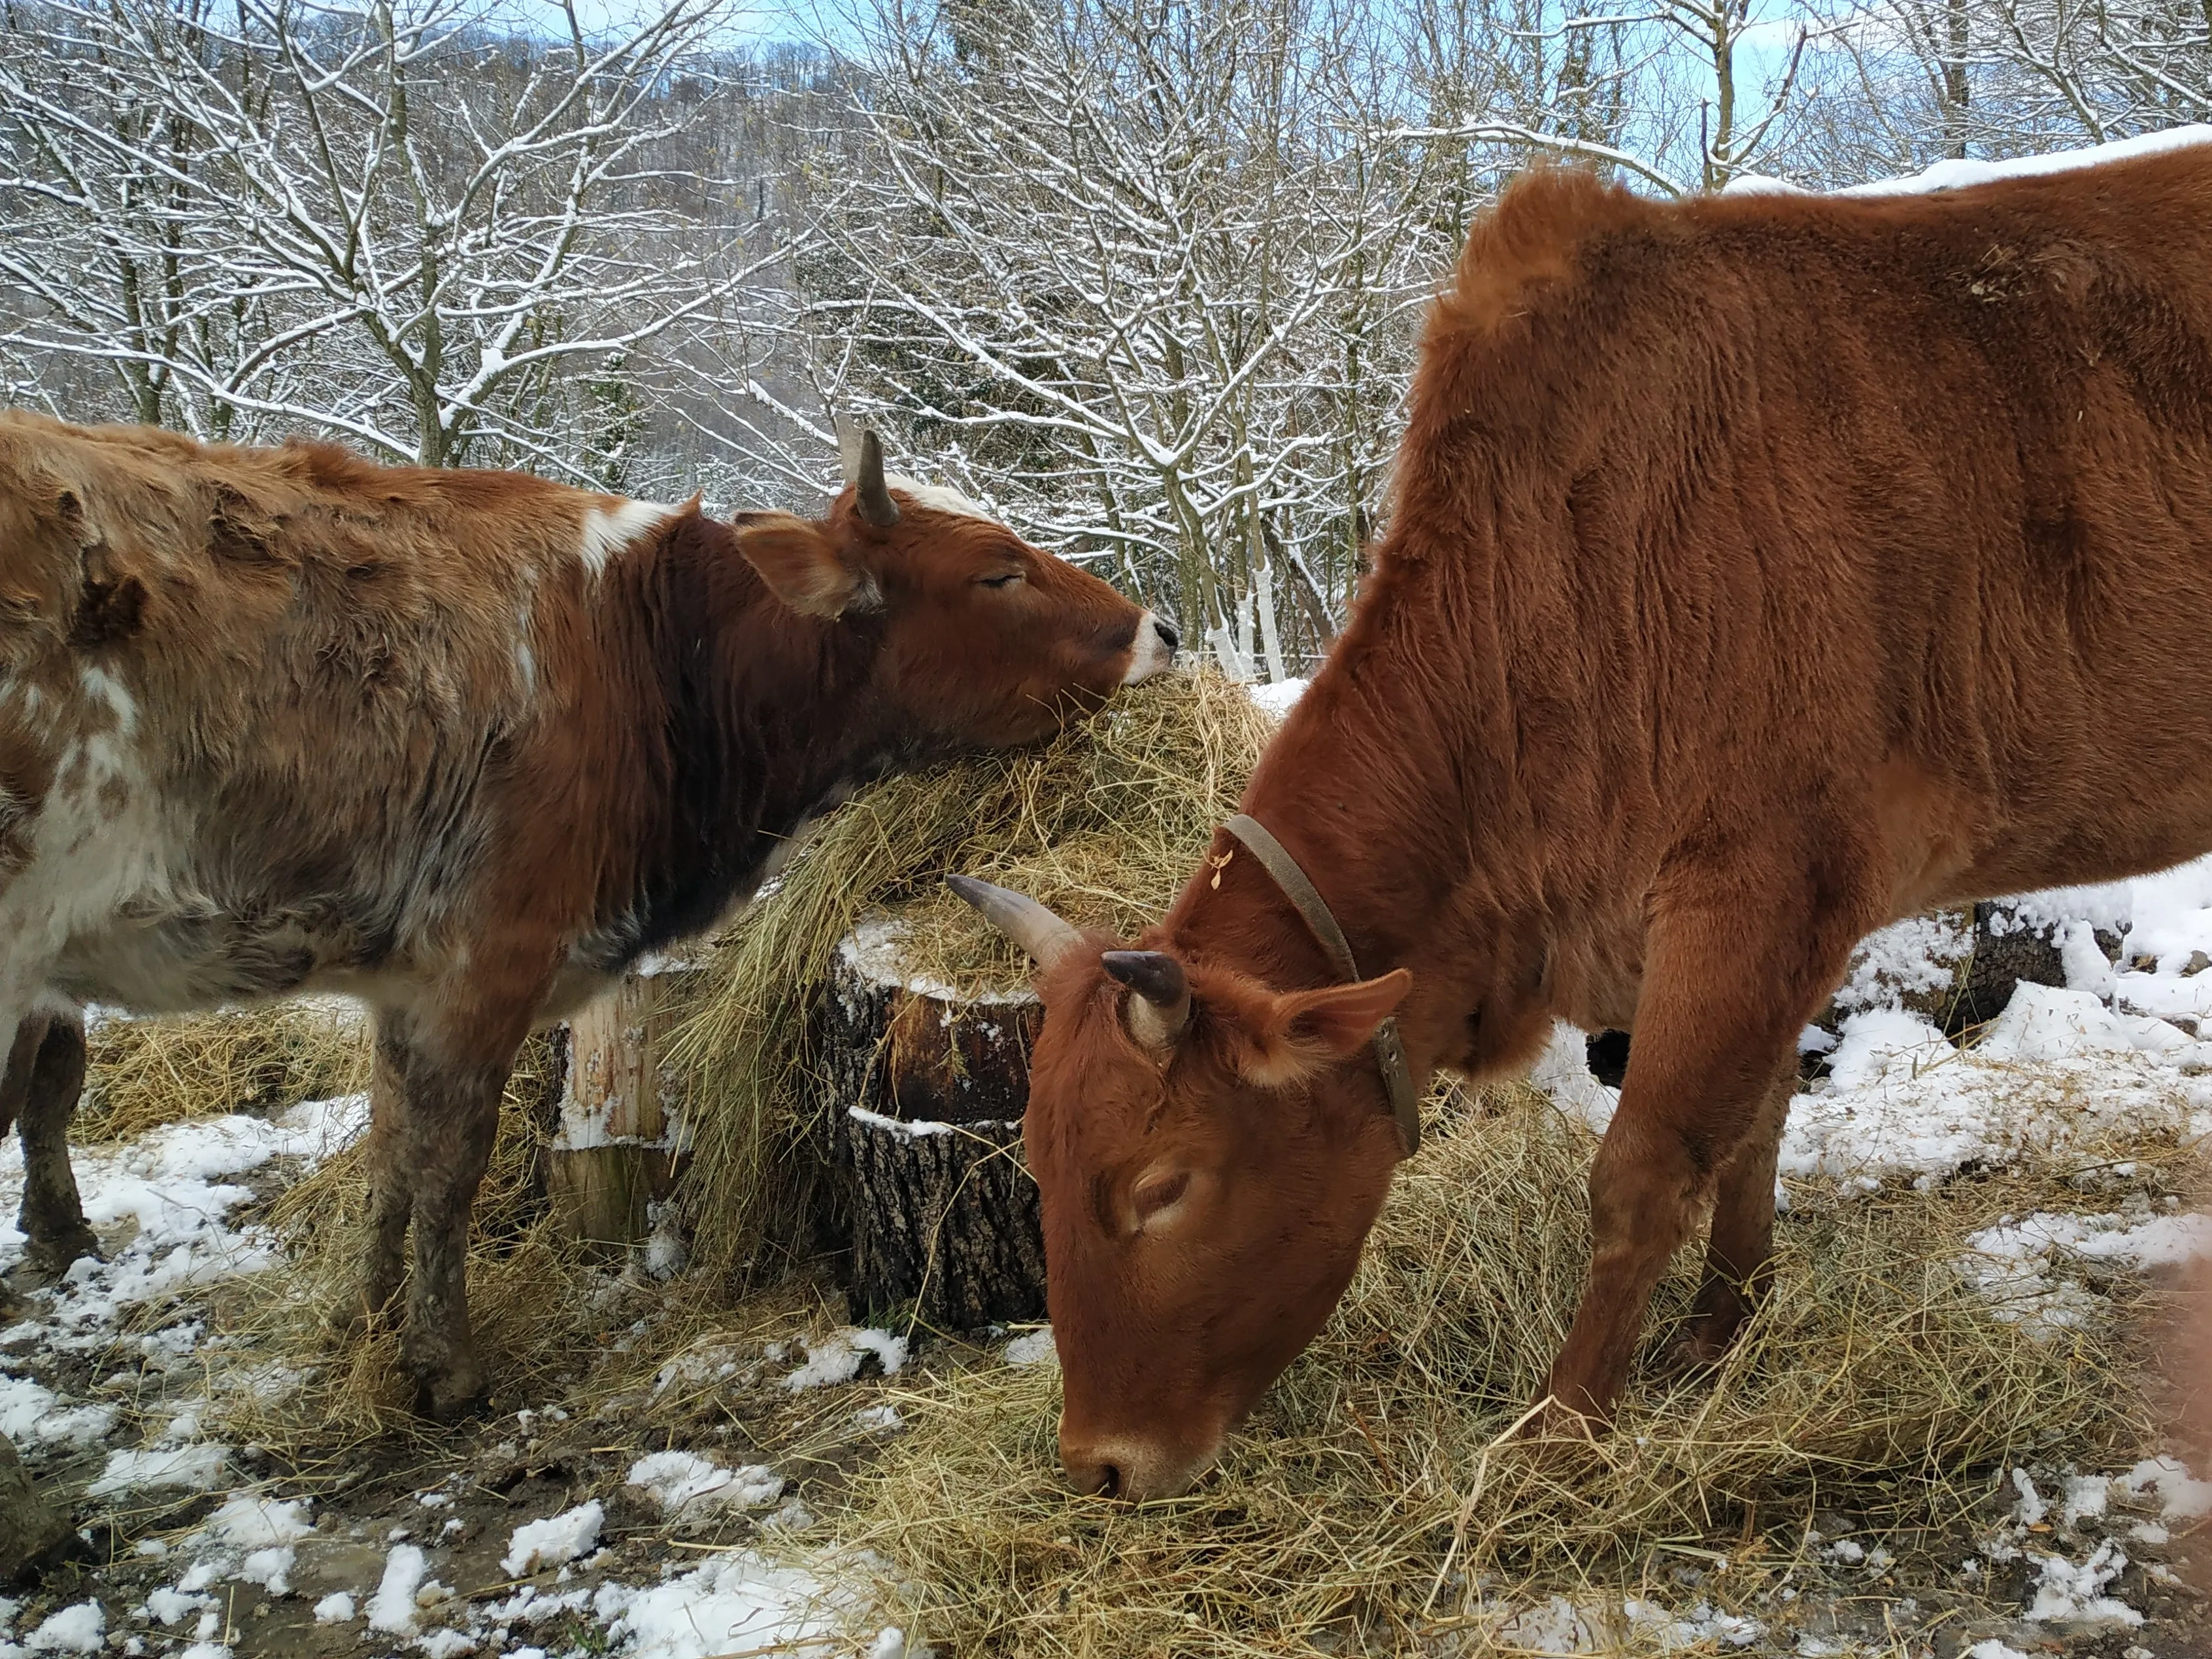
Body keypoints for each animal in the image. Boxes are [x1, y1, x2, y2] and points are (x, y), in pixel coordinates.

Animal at [0, 416, 1177, 1415]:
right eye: (998, 570)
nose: (1158, 630)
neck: (650, 649)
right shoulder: (487, 956)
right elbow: (446, 1167)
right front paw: (444, 1367)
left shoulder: (405, 981)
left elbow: (387, 1161)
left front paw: (364, 1328)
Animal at [960, 140, 2212, 1495]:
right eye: (1033, 1164)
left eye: (1160, 1184)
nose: (1096, 1463)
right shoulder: (1747, 929)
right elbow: (1752, 1125)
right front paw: (1717, 1329)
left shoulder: (1756, 887)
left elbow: (1642, 1172)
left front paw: (1558, 1431)